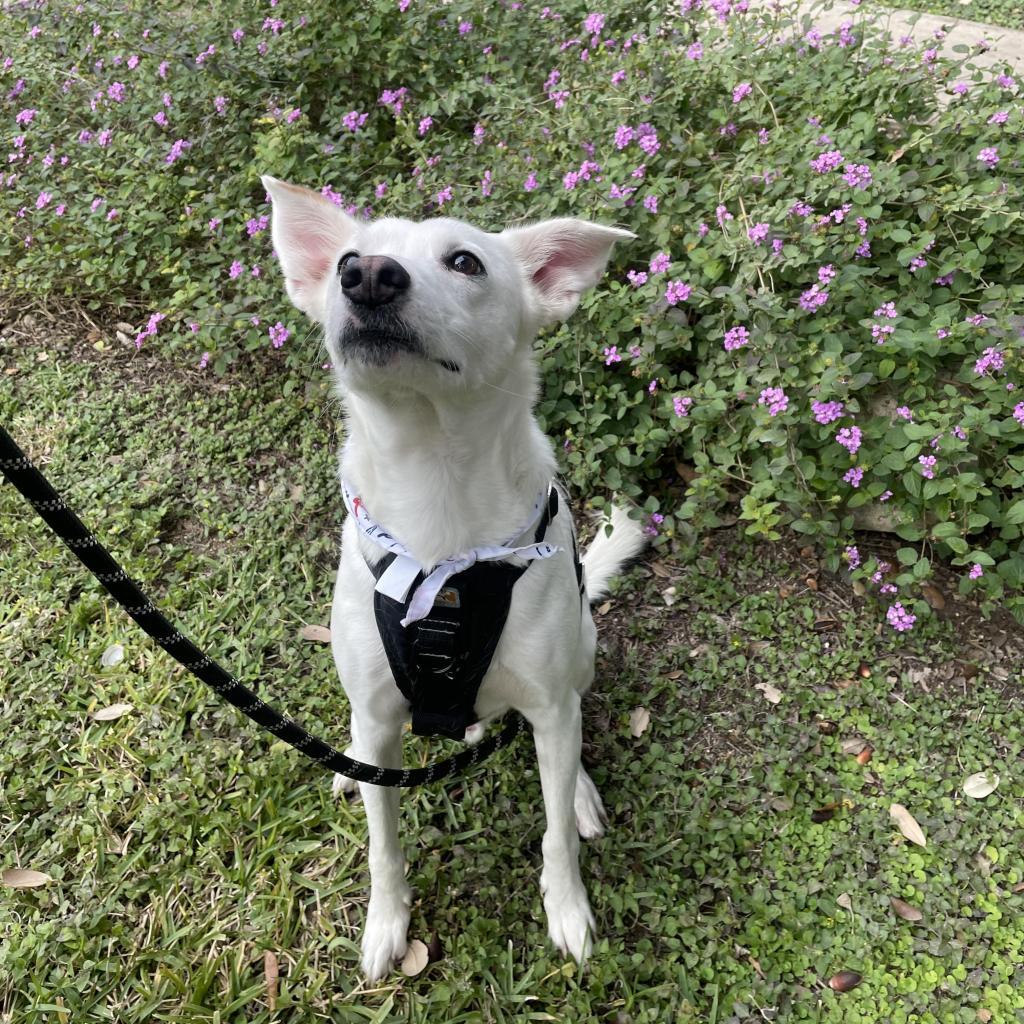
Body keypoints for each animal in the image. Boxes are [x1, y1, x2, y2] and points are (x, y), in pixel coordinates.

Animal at [266, 176, 647, 974]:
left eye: (465, 261)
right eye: (345, 258)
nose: (367, 275)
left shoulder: (549, 698)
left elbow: (554, 836)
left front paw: (568, 908)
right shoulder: (379, 714)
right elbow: (383, 846)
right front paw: (386, 925)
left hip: (581, 654)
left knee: (568, 727)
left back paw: (579, 792)